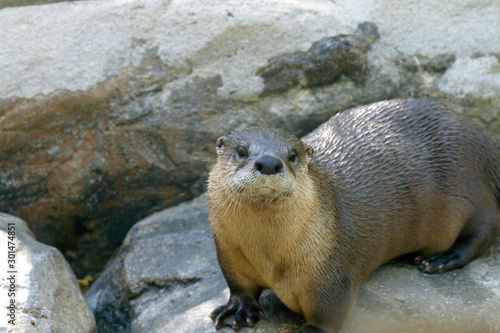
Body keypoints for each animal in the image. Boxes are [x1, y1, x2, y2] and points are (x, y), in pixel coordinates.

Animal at [206, 98, 500, 332]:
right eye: (241, 151)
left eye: (292, 156)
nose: (269, 162)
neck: (271, 258)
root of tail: (485, 142)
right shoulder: (230, 253)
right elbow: (239, 285)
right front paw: (237, 309)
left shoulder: (331, 272)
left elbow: (329, 314)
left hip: (469, 186)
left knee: (486, 228)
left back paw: (441, 259)